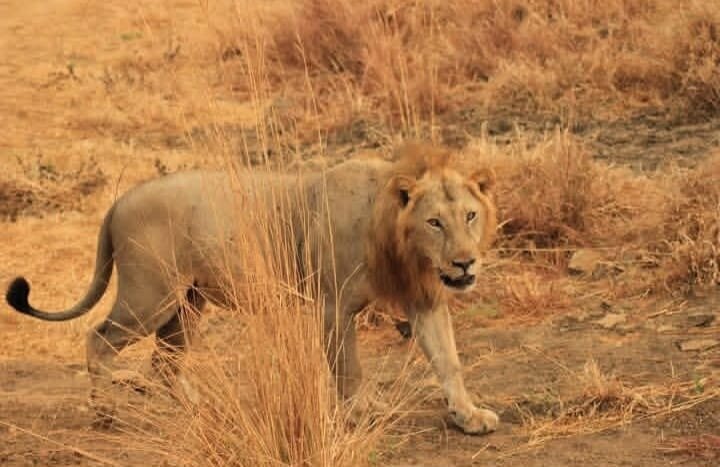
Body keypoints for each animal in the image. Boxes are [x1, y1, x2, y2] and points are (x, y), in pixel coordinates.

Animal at [5, 142, 499, 434]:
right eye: (434, 222)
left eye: (470, 215)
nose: (465, 262)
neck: (400, 245)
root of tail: (118, 202)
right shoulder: (333, 305)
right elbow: (349, 369)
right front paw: (361, 412)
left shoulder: (425, 298)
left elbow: (449, 361)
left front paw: (468, 415)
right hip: (150, 295)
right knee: (98, 337)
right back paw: (106, 411)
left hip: (186, 305)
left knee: (162, 365)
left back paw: (204, 409)